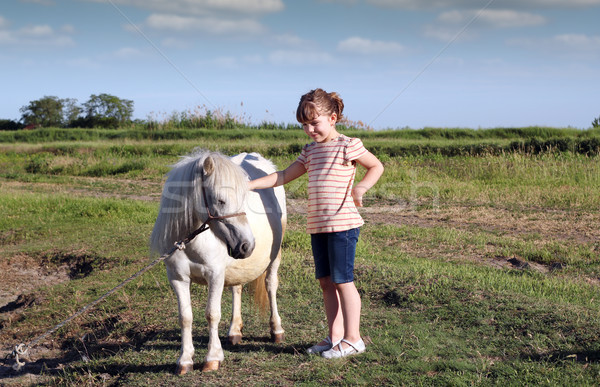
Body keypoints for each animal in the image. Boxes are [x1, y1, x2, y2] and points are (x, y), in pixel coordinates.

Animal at [152, 150, 288, 374]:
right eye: (220, 200)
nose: (247, 245)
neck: (191, 242)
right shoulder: (177, 278)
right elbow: (185, 317)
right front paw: (185, 360)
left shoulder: (215, 275)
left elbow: (212, 314)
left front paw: (213, 357)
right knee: (237, 289)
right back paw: (234, 331)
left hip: (274, 257)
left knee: (271, 285)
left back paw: (276, 329)